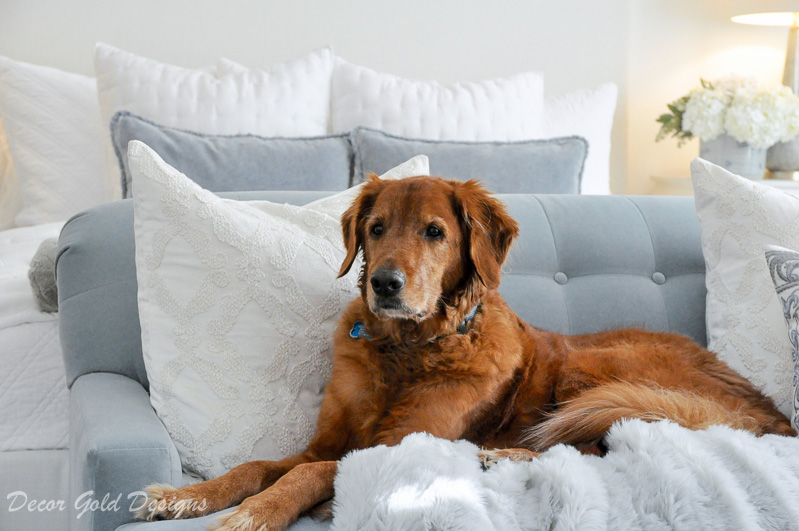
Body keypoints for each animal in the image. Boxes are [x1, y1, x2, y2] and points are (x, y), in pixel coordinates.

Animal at [139, 176, 792, 531]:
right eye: (375, 227)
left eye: (435, 232)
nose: (385, 284)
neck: (406, 350)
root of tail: (770, 411)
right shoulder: (326, 440)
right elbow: (256, 466)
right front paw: (187, 495)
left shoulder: (394, 445)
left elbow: (306, 474)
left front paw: (256, 512)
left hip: (600, 370)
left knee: (592, 444)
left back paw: (497, 457)